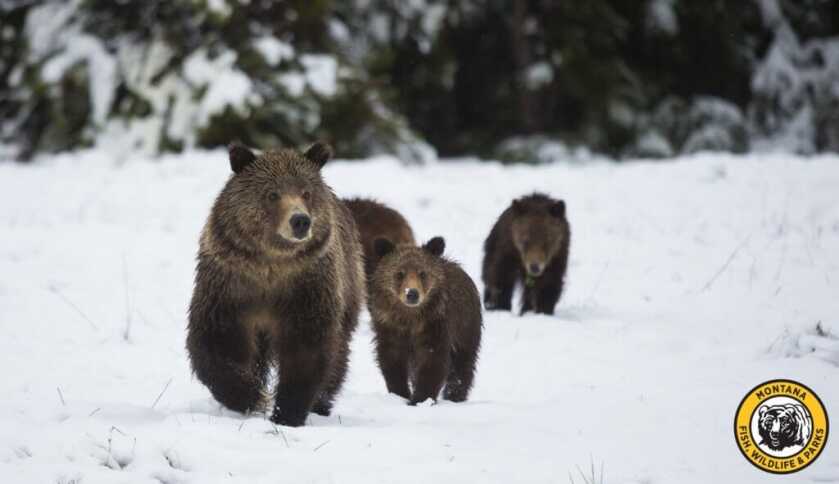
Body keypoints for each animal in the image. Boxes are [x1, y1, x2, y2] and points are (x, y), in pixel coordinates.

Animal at [186, 141, 365, 427]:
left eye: (306, 192)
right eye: (272, 194)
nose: (300, 220)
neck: (270, 265)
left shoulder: (306, 288)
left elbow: (306, 350)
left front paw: (287, 412)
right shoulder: (230, 287)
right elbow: (216, 341)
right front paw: (248, 395)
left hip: (349, 282)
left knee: (338, 351)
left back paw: (322, 402)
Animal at [369, 236, 482, 405]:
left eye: (422, 273)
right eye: (400, 273)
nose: (412, 294)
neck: (410, 318)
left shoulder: (435, 325)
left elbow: (433, 361)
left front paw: (420, 399)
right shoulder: (389, 327)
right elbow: (392, 361)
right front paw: (400, 394)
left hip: (466, 327)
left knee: (463, 363)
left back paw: (454, 395)